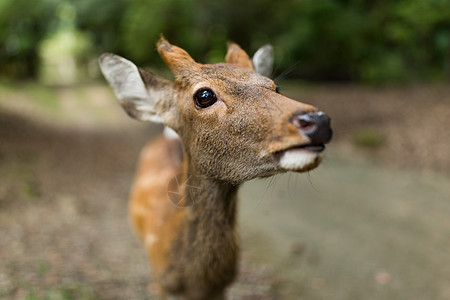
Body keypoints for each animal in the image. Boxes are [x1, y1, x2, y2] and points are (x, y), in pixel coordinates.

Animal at [98, 38, 330, 300]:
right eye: (204, 95)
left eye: (275, 86)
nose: (318, 120)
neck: (195, 284)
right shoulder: (164, 285)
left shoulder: (221, 288)